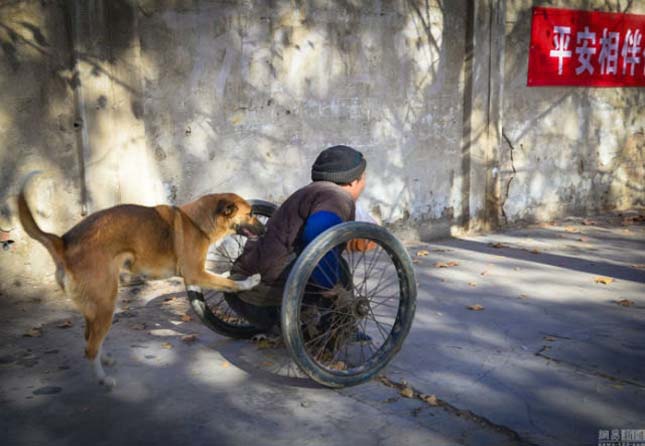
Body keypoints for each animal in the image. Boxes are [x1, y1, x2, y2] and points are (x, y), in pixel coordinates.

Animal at [18, 172, 264, 388]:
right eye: (251, 213)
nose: (264, 229)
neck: (198, 221)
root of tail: (63, 242)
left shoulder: (196, 275)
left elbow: (221, 278)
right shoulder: (194, 273)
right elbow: (229, 283)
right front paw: (249, 281)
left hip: (94, 306)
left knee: (90, 337)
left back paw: (104, 358)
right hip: (106, 302)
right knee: (90, 347)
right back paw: (103, 379)